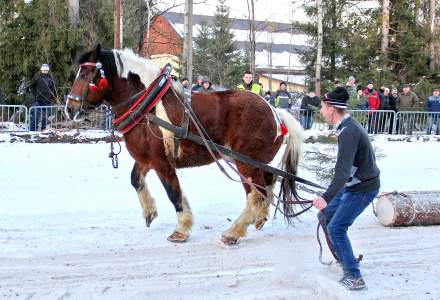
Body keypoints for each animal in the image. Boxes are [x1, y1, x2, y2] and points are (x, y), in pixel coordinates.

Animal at [65, 45, 304, 245]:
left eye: (86, 75)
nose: (69, 108)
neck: (148, 107)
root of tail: (276, 113)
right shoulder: (146, 158)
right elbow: (135, 179)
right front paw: (150, 212)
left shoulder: (162, 162)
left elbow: (174, 193)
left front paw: (181, 229)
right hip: (256, 163)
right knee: (268, 183)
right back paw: (259, 218)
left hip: (245, 163)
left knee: (255, 195)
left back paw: (233, 232)